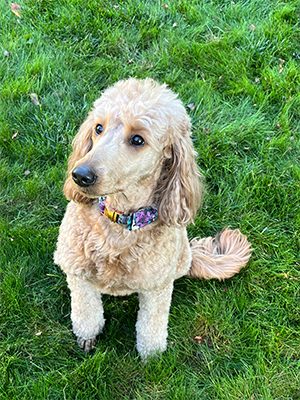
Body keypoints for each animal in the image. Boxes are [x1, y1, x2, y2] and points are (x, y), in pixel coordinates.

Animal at [54, 78, 251, 360]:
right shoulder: (77, 273)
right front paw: (87, 337)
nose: (80, 175)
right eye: (98, 128)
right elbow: (87, 313)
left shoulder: (158, 287)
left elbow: (151, 327)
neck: (121, 221)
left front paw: (152, 357)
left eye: (137, 139)